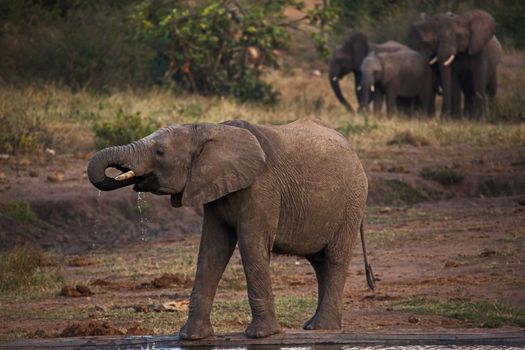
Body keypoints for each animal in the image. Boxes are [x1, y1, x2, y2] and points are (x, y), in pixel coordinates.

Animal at [87, 118, 372, 340]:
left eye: (159, 152)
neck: (209, 129)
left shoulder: (261, 187)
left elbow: (251, 244)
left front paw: (261, 335)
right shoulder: (213, 187)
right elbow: (213, 249)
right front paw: (190, 337)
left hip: (352, 200)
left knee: (334, 258)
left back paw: (323, 327)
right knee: (318, 262)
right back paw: (315, 327)